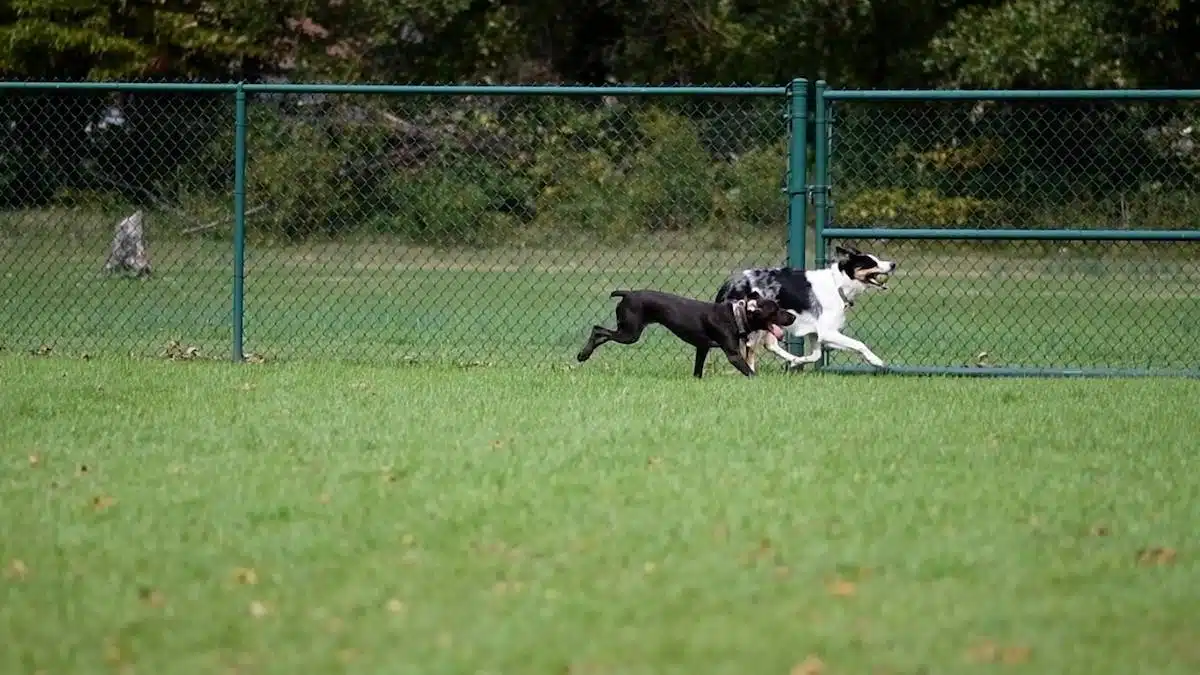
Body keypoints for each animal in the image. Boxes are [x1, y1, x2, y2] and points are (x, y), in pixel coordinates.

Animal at [573, 285, 796, 374]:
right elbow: (751, 373)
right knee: (598, 329)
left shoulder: (702, 348)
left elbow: (697, 371)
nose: (793, 316)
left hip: (627, 331)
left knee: (602, 333)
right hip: (630, 333)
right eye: (775, 310)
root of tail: (627, 293)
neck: (736, 315)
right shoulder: (733, 355)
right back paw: (583, 354)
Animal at [715, 243, 897, 369]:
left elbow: (816, 355)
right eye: (871, 262)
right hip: (755, 327)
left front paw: (797, 361)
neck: (837, 284)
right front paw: (876, 361)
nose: (893, 264)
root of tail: (730, 283)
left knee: (770, 345)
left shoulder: (818, 335)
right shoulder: (827, 332)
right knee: (751, 351)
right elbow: (859, 344)